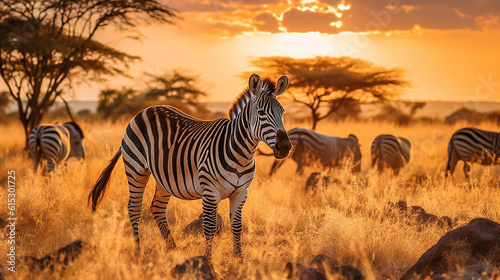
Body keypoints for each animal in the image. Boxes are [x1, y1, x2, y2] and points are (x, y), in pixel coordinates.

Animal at [88, 73, 292, 258]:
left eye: (282, 112)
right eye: (261, 113)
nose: (285, 147)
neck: (241, 154)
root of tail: (144, 111)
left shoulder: (241, 193)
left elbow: (237, 225)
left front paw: (239, 260)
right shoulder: (210, 192)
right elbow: (209, 227)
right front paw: (208, 262)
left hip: (163, 177)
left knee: (157, 208)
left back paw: (173, 249)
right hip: (135, 169)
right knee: (134, 208)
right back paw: (139, 252)